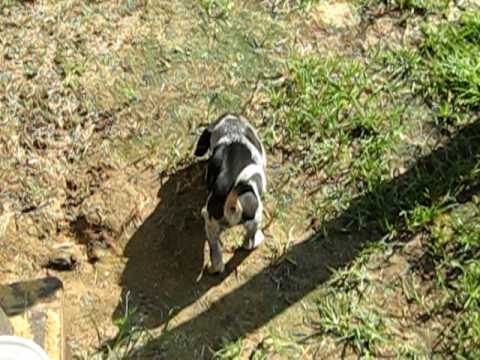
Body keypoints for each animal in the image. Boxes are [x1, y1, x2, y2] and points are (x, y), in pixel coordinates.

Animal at [196, 112, 270, 272]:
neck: (232, 131)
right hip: (255, 219)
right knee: (249, 243)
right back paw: (258, 239)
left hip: (210, 226)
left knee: (216, 257)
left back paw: (212, 268)